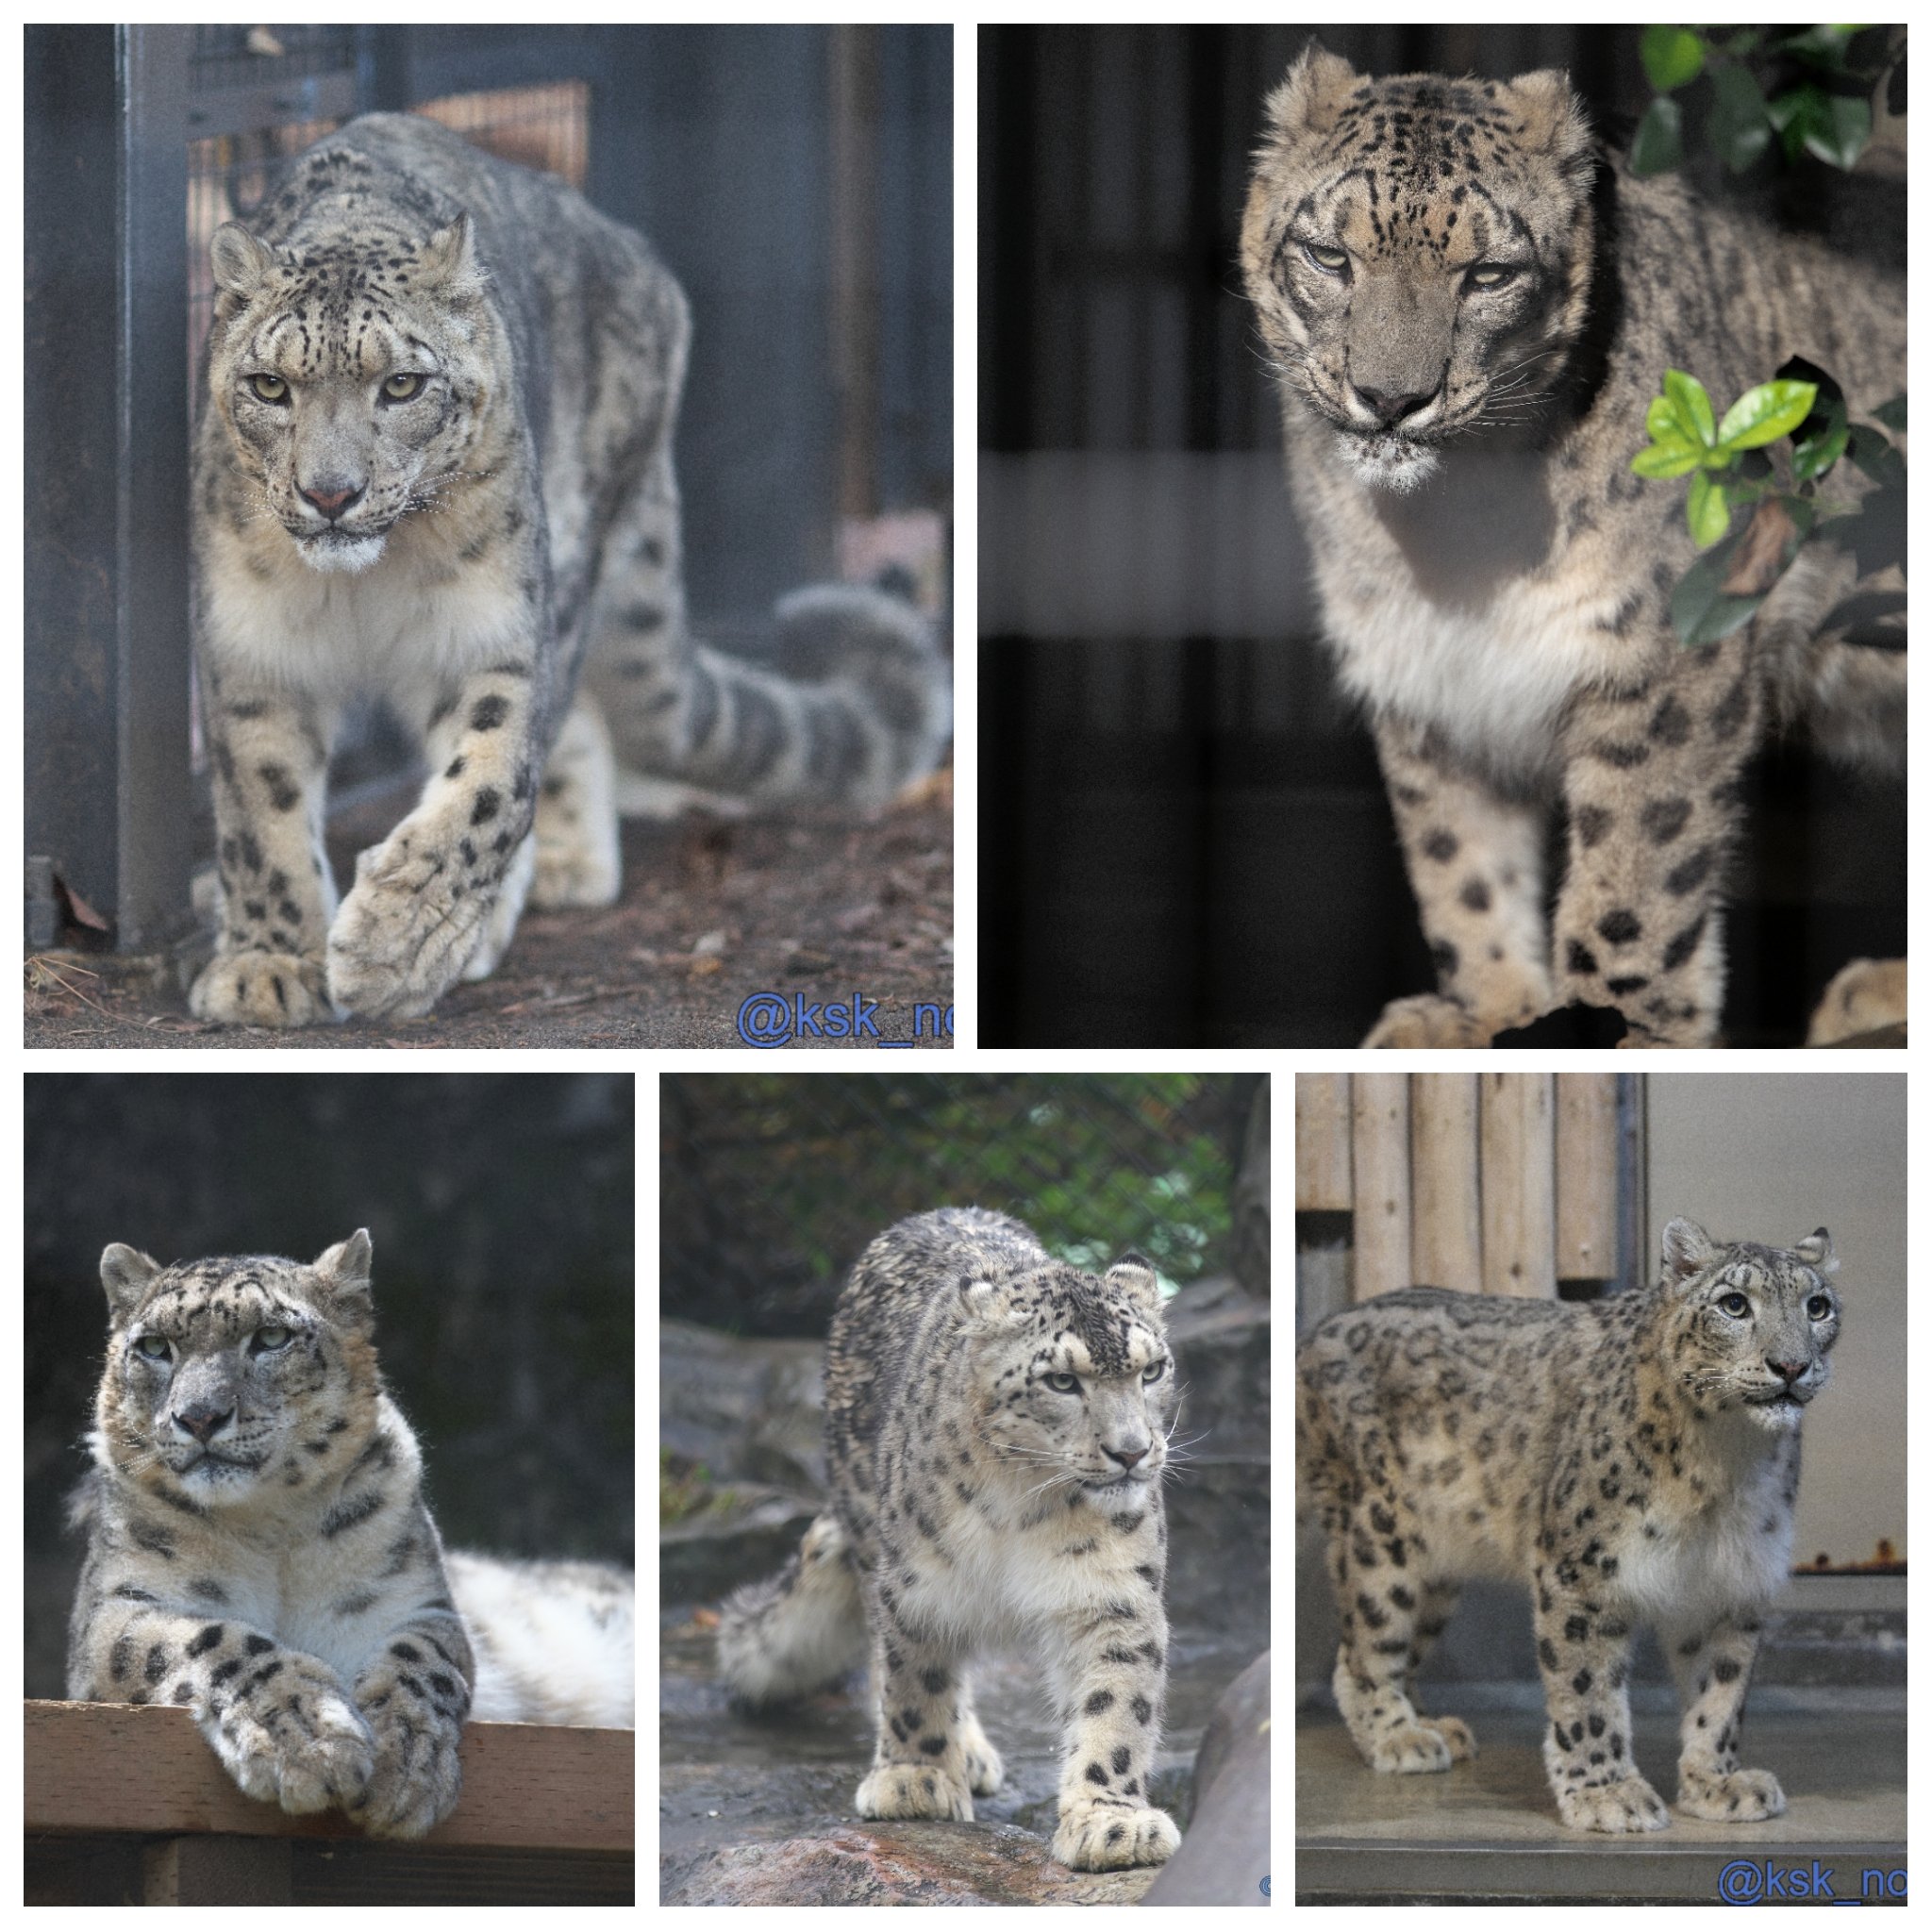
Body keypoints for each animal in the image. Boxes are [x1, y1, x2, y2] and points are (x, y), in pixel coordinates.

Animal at [66, 1230, 633, 1839]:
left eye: (271, 1337)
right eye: (154, 1347)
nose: (199, 1417)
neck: (268, 1527)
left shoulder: (412, 1602)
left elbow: (421, 1660)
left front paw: (403, 1764)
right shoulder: (117, 1609)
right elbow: (213, 1639)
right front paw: (306, 1741)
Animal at [188, 111, 949, 1027]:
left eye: (402, 384)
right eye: (269, 385)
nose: (331, 493)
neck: (362, 586)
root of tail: (639, 259)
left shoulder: (494, 634)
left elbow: (488, 785)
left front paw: (398, 941)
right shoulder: (252, 647)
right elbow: (259, 807)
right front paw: (267, 964)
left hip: (571, 569)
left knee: (565, 720)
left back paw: (516, 897)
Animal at [717, 1206, 1182, 1872]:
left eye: (1152, 1369)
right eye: (1062, 1381)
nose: (1132, 1451)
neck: (1027, 1505)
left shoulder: (1112, 1591)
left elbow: (1115, 1706)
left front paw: (1111, 1823)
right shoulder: (918, 1584)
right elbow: (916, 1677)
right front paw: (916, 1780)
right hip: (866, 1528)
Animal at [1241, 44, 1905, 1047]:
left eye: (1488, 273)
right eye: (1329, 255)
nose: (1391, 399)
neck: (1449, 548)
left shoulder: (1662, 663)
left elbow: (1633, 878)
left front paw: (1610, 1024)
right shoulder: (1423, 676)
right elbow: (1462, 864)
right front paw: (1487, 1018)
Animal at [1297, 1218, 1840, 1833]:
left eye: (1818, 1306)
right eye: (1734, 1304)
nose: (1792, 1366)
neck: (1727, 1464)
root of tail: (1318, 1329)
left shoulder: (1731, 1582)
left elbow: (1720, 1691)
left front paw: (1717, 1782)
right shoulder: (1584, 1571)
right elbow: (1587, 1690)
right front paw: (1607, 1793)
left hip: (1436, 1571)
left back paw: (1434, 1726)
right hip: (1379, 1536)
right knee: (1362, 1649)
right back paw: (1399, 1736)